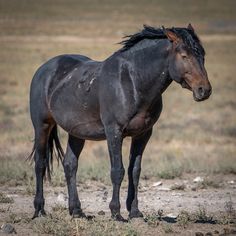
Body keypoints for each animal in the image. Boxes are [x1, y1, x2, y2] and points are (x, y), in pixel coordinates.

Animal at [29, 24, 212, 221]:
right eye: (184, 56)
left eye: (203, 54)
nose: (204, 90)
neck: (133, 82)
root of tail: (44, 68)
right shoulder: (114, 132)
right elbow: (118, 171)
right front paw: (116, 212)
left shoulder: (143, 134)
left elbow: (135, 171)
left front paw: (135, 211)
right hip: (42, 126)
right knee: (40, 164)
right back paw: (39, 210)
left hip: (76, 132)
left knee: (70, 165)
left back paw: (77, 211)